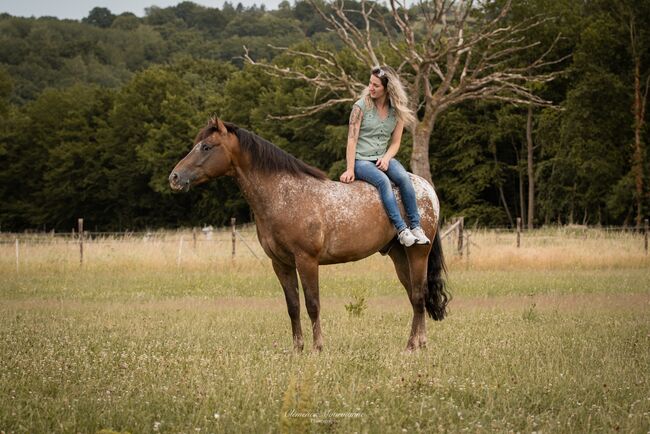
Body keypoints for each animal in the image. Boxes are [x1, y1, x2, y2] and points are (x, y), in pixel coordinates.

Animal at [170, 118, 448, 352]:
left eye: (206, 147)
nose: (174, 177)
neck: (284, 195)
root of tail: (426, 189)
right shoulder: (280, 264)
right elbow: (293, 306)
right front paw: (297, 349)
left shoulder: (307, 261)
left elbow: (312, 304)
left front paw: (317, 349)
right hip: (399, 255)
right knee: (415, 296)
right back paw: (417, 343)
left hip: (418, 253)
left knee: (419, 295)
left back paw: (415, 346)